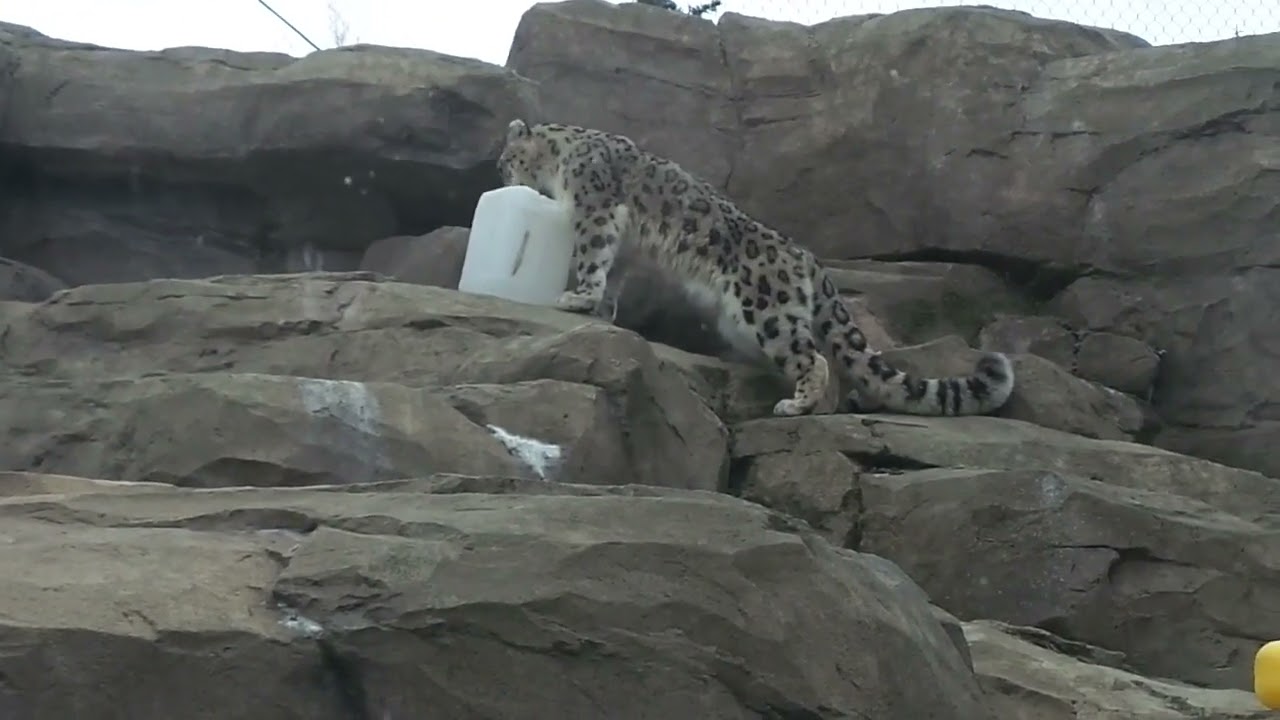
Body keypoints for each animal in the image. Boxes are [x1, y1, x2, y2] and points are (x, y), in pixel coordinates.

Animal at [496, 118, 1015, 417]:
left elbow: (591, 254)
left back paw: (796, 404)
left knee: (814, 357)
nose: (498, 172)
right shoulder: (621, 242)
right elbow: (612, 270)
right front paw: (601, 308)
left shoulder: (595, 208)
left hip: (764, 311)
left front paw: (577, 296)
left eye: (505, 157)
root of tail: (807, 257)